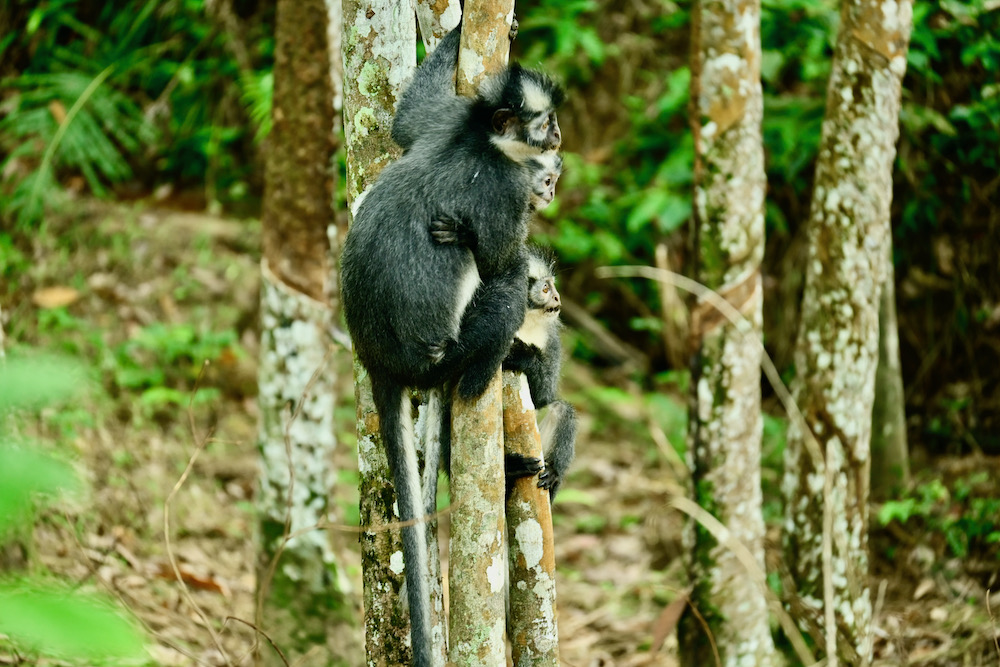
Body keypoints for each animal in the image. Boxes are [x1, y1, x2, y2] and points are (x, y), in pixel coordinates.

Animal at [339, 25, 563, 667]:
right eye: (545, 123)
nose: (559, 136)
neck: (480, 138)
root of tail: (377, 357)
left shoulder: (447, 121)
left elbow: (406, 122)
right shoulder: (504, 188)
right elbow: (498, 262)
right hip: (442, 350)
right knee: (503, 293)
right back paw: (481, 377)